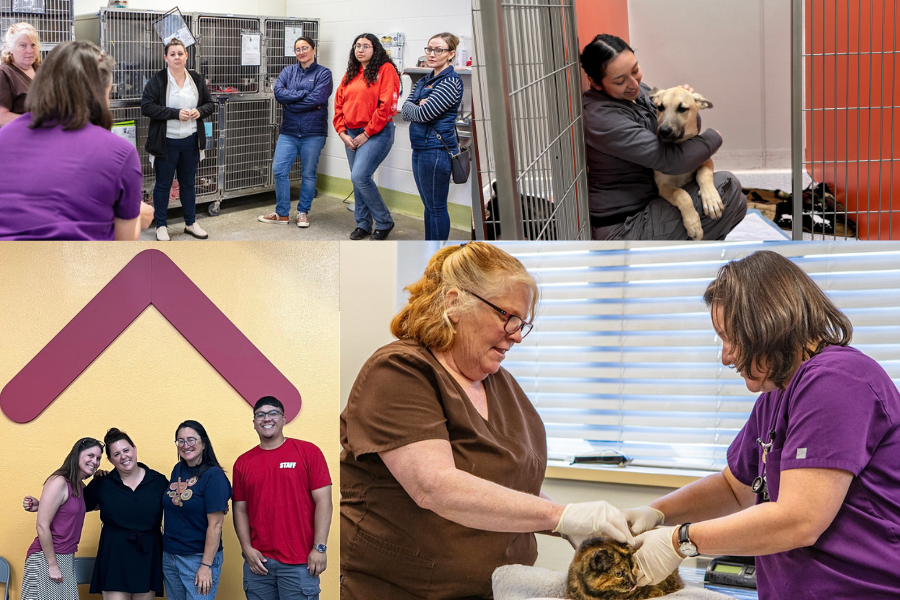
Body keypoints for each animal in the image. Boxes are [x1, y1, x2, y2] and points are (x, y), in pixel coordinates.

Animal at [652, 86, 720, 241]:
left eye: (682, 109)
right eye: (660, 107)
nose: (663, 131)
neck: (681, 146)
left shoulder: (707, 161)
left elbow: (704, 175)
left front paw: (711, 199)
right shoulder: (662, 186)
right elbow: (681, 194)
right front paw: (693, 223)